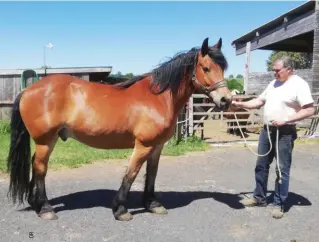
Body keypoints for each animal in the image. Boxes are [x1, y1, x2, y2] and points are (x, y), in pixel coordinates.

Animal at [6, 37, 232, 221]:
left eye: (222, 68)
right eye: (205, 68)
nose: (225, 100)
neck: (158, 97)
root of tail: (28, 90)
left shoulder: (157, 146)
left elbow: (152, 174)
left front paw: (152, 204)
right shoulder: (143, 145)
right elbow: (131, 174)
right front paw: (120, 209)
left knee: (35, 165)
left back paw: (36, 204)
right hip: (45, 140)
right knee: (40, 168)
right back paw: (45, 209)